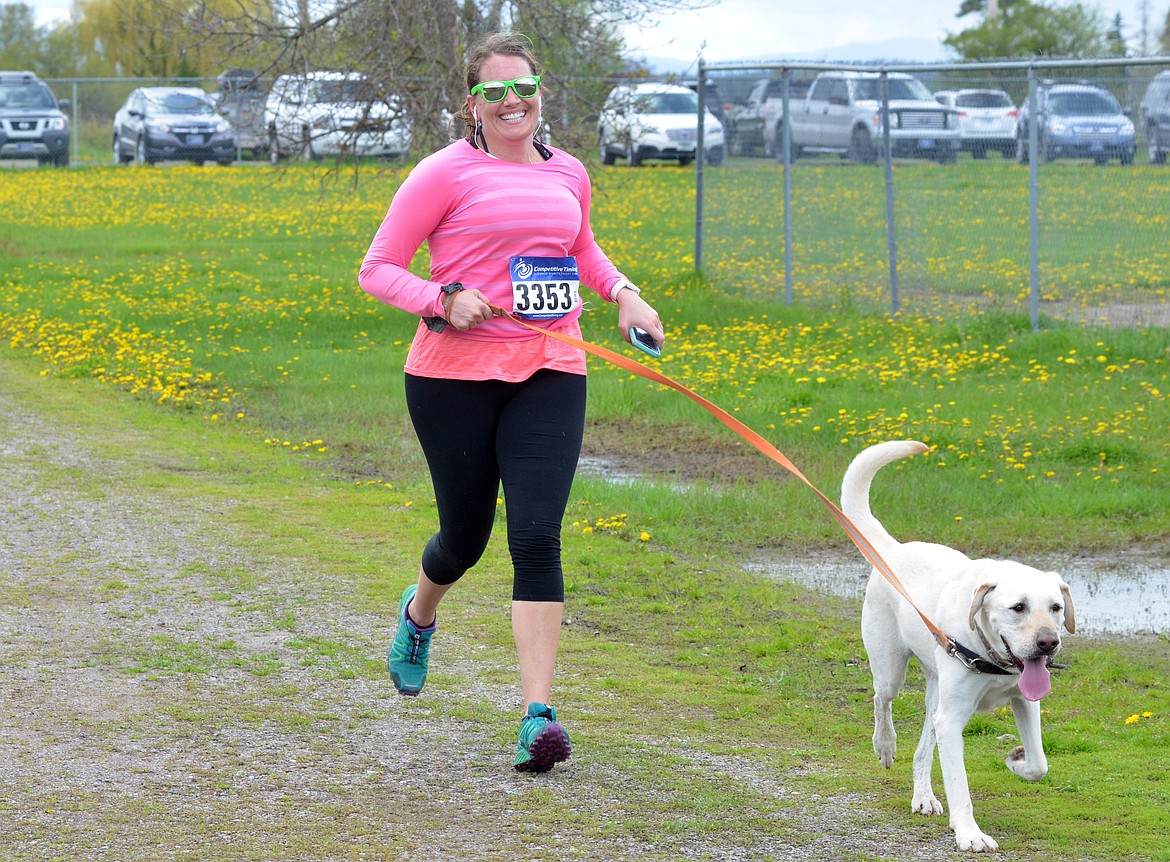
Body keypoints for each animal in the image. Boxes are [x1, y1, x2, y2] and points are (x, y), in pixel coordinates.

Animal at [842, 439, 1076, 851]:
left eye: (1056, 607)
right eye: (1018, 607)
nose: (1049, 643)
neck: (991, 656)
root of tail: (893, 549)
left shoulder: (1024, 701)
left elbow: (1039, 763)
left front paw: (1016, 759)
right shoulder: (952, 721)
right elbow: (960, 785)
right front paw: (970, 833)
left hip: (936, 696)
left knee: (922, 750)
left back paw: (923, 796)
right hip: (891, 672)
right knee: (880, 699)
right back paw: (885, 745)